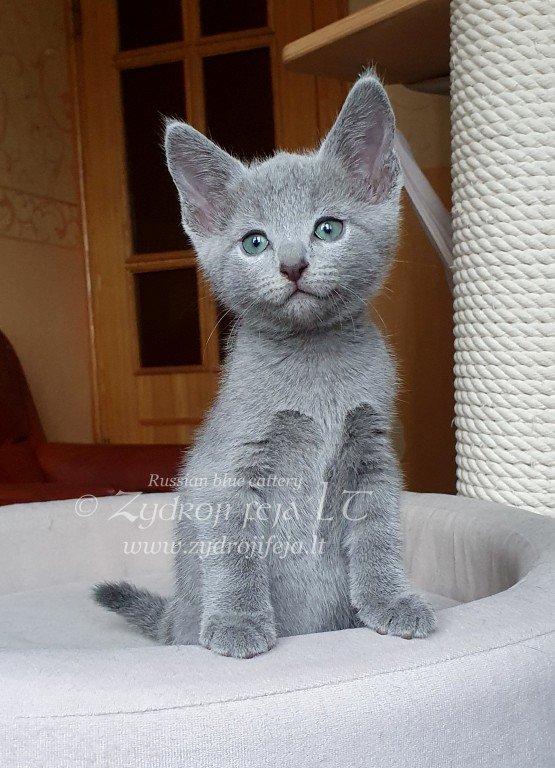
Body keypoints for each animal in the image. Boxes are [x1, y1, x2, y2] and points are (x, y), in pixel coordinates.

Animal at [94, 72, 437, 658]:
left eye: (328, 229)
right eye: (255, 242)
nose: (292, 264)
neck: (314, 365)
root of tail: (173, 618)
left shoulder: (372, 452)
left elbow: (378, 533)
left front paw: (390, 603)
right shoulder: (232, 461)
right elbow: (234, 549)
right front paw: (238, 622)